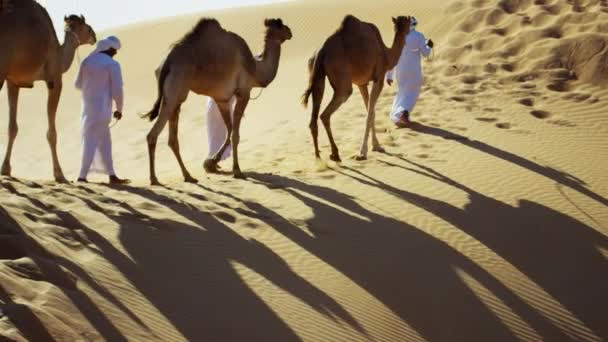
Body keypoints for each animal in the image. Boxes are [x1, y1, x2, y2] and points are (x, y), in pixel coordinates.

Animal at [0, 0, 96, 183]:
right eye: (87, 27)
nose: (94, 36)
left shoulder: (13, 81)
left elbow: (12, 127)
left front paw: (6, 169)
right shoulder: (55, 80)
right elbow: (52, 133)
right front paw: (59, 174)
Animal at [145, 17, 292, 186]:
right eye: (280, 25)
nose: (290, 32)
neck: (256, 69)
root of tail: (166, 63)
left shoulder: (221, 99)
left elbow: (229, 130)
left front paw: (210, 163)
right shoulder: (244, 93)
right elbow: (235, 134)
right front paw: (237, 171)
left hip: (175, 98)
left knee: (172, 139)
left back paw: (188, 176)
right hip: (175, 92)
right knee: (152, 135)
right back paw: (154, 179)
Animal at [302, 14, 410, 162]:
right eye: (409, 21)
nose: (414, 21)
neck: (387, 54)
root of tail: (321, 51)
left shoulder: (361, 84)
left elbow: (371, 112)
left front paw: (376, 146)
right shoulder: (379, 78)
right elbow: (370, 114)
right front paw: (363, 152)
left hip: (316, 74)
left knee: (314, 115)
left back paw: (319, 158)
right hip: (342, 81)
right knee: (326, 113)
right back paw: (335, 154)